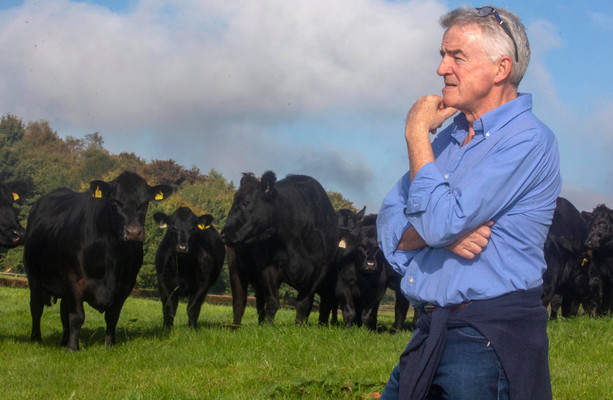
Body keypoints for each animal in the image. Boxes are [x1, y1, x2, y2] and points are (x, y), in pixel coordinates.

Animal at [23, 172, 171, 350]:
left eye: (145, 203)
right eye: (115, 201)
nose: (134, 232)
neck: (112, 256)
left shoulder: (126, 284)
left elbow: (112, 317)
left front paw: (109, 345)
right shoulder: (74, 279)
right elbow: (77, 316)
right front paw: (73, 348)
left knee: (63, 310)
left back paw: (64, 340)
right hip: (33, 277)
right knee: (36, 307)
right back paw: (36, 338)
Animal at [220, 171, 338, 324]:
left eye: (244, 203)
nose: (223, 234)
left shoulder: (320, 270)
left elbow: (303, 304)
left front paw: (298, 326)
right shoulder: (268, 267)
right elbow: (272, 301)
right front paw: (267, 326)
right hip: (235, 268)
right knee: (239, 301)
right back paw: (236, 326)